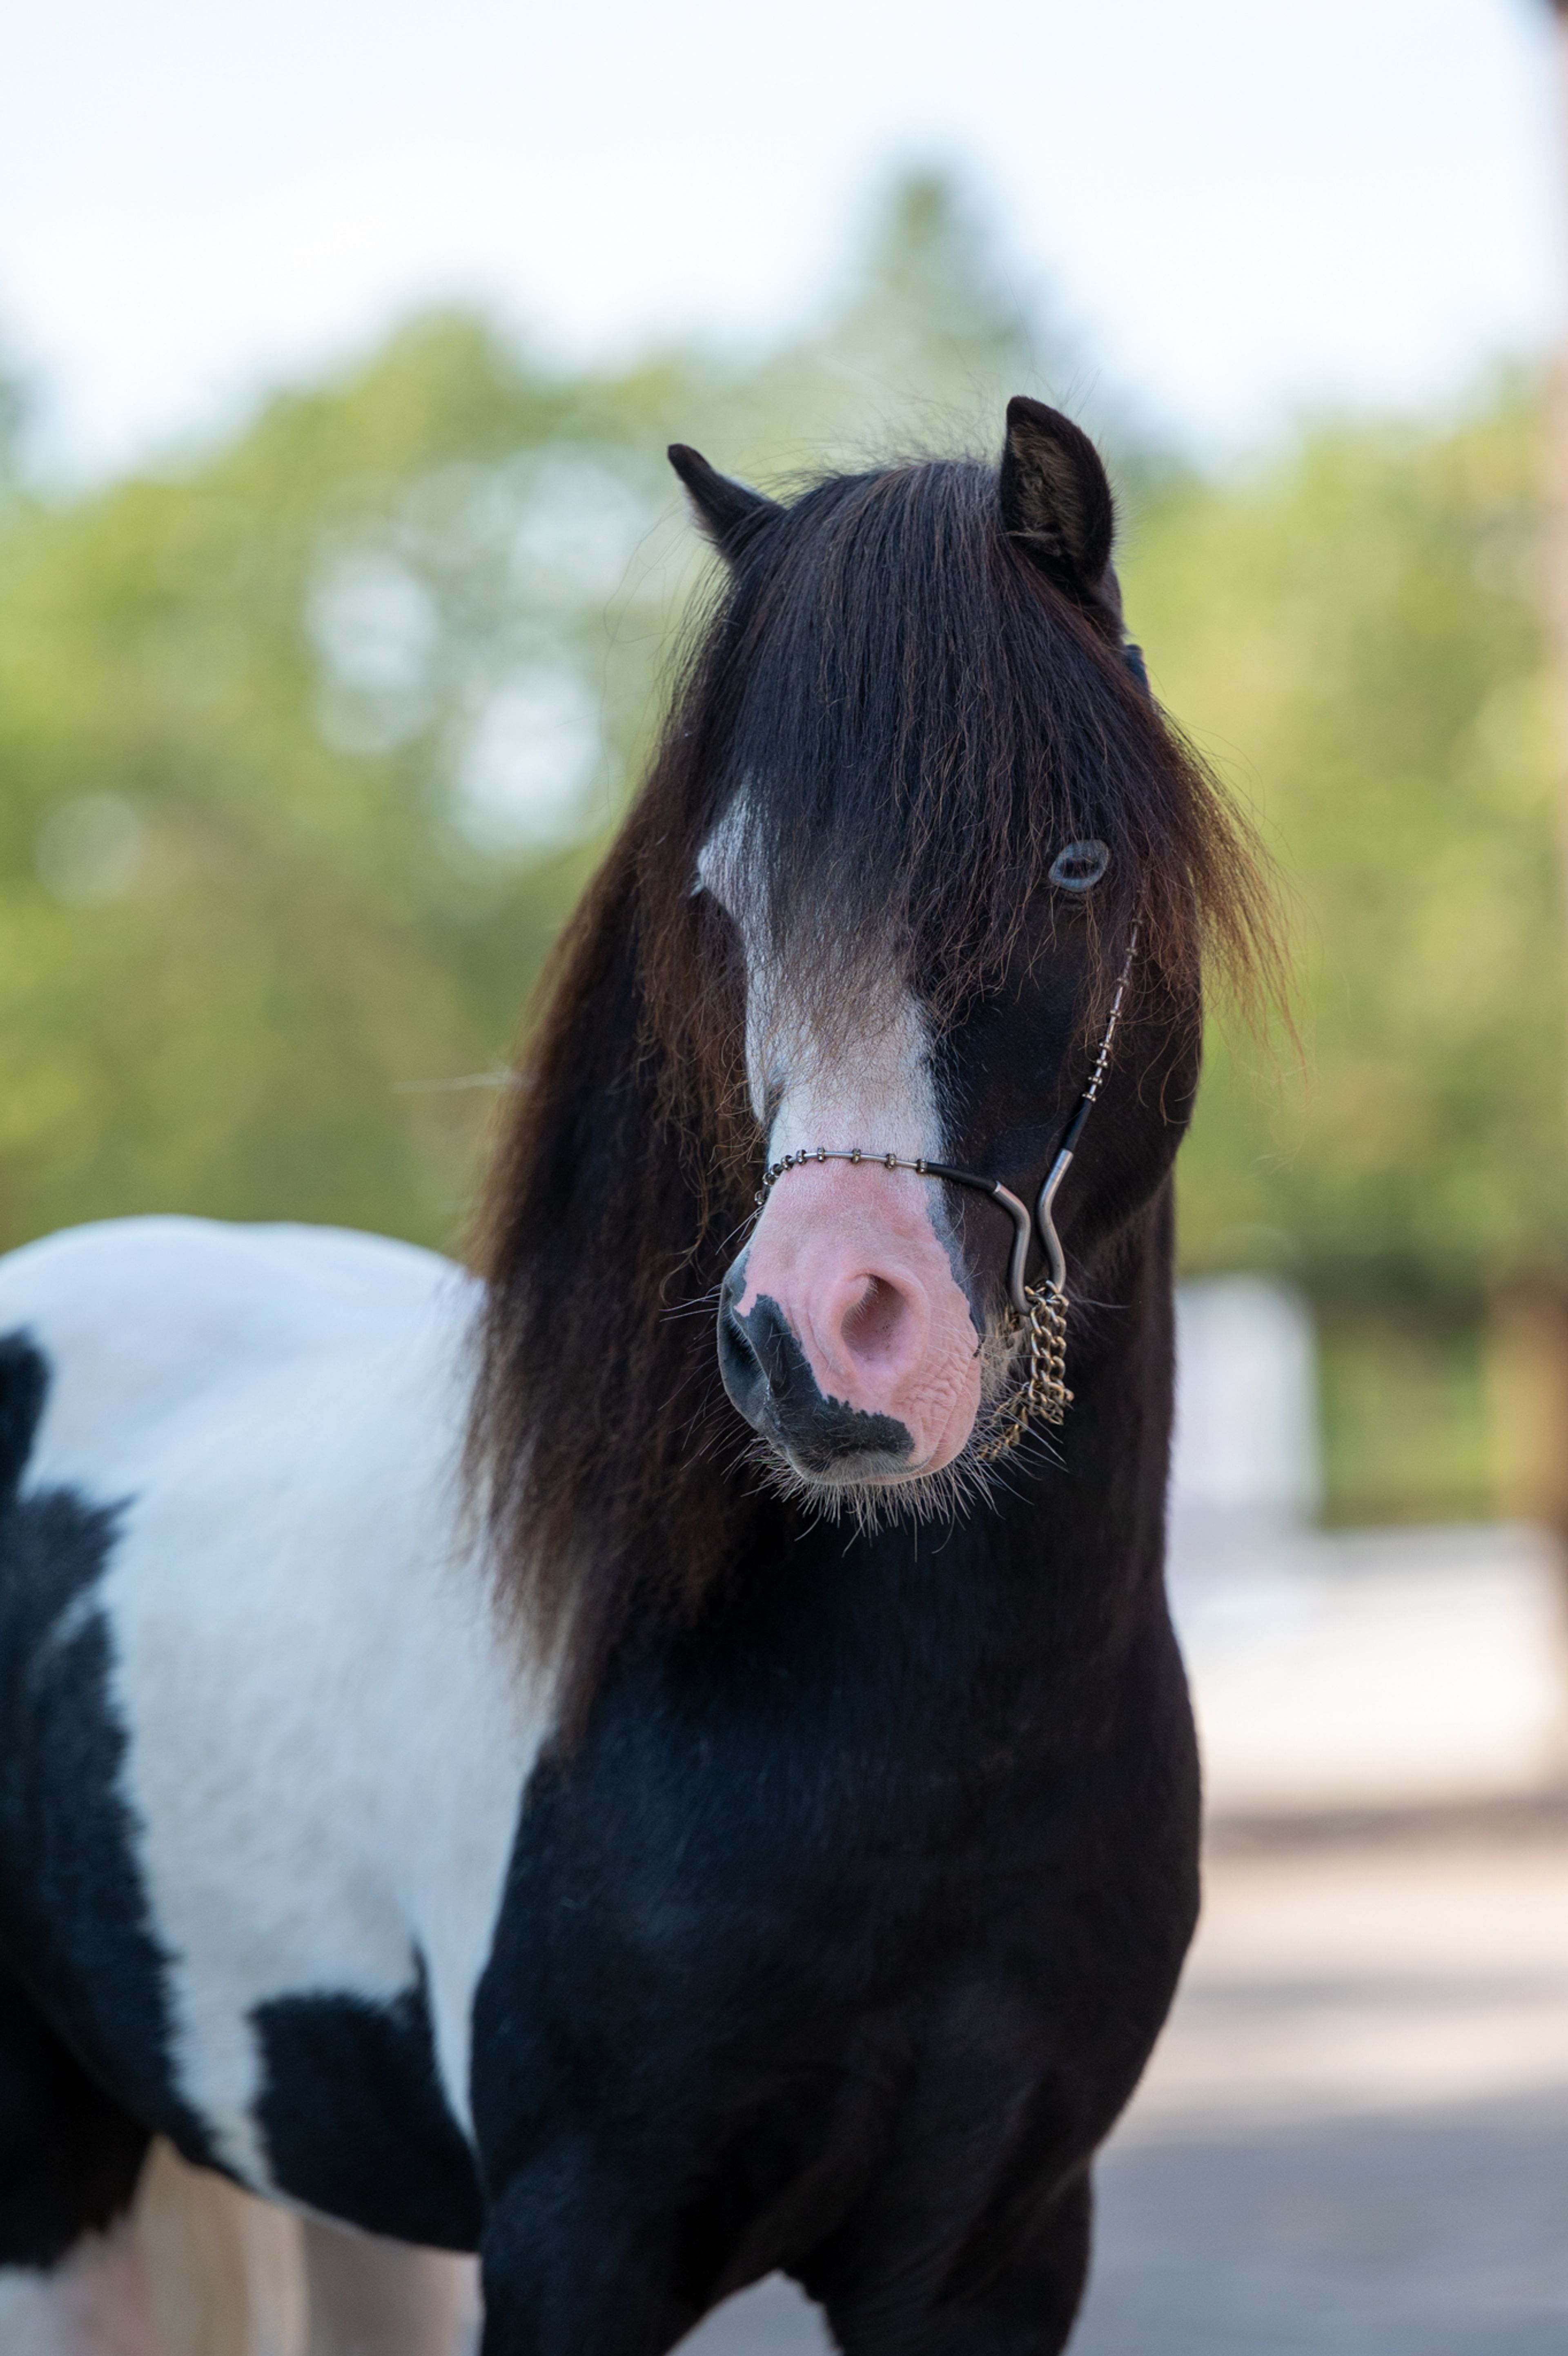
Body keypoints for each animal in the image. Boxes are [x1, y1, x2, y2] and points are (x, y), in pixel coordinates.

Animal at [0, 397, 1270, 2356]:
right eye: (722, 892)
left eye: (1074, 863)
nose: (819, 1339)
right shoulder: (573, 2244)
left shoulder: (996, 2253)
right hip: (56, 2183)